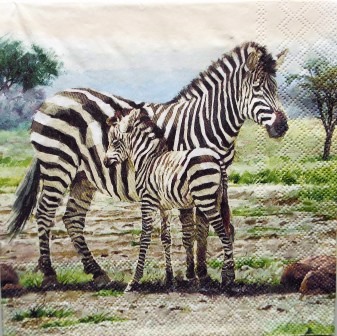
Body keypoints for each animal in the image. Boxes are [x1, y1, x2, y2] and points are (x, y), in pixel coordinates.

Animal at [103, 108, 234, 292]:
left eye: (115, 141)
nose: (105, 162)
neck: (147, 160)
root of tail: (217, 158)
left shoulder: (147, 202)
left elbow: (145, 237)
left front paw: (134, 281)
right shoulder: (164, 207)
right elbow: (166, 238)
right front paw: (170, 278)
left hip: (206, 199)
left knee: (223, 232)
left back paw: (228, 279)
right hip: (217, 198)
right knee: (229, 231)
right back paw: (228, 274)